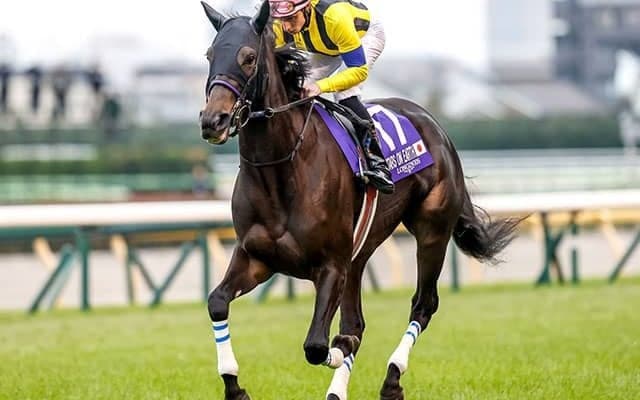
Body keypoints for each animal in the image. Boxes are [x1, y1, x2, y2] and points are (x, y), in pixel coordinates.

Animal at [199, 2, 519, 399]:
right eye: (210, 55)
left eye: (248, 57)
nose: (213, 120)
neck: (282, 169)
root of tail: (434, 125)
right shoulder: (256, 256)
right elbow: (217, 303)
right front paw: (234, 386)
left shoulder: (331, 265)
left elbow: (318, 345)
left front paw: (340, 349)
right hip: (361, 250)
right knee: (358, 320)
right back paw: (339, 390)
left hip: (432, 231)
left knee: (423, 304)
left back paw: (392, 380)